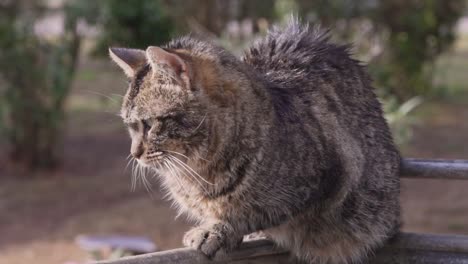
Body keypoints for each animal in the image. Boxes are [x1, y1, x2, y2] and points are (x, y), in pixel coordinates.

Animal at [109, 19, 398, 262]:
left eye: (149, 124)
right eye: (131, 126)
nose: (134, 153)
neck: (200, 170)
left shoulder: (331, 178)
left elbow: (254, 214)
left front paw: (218, 230)